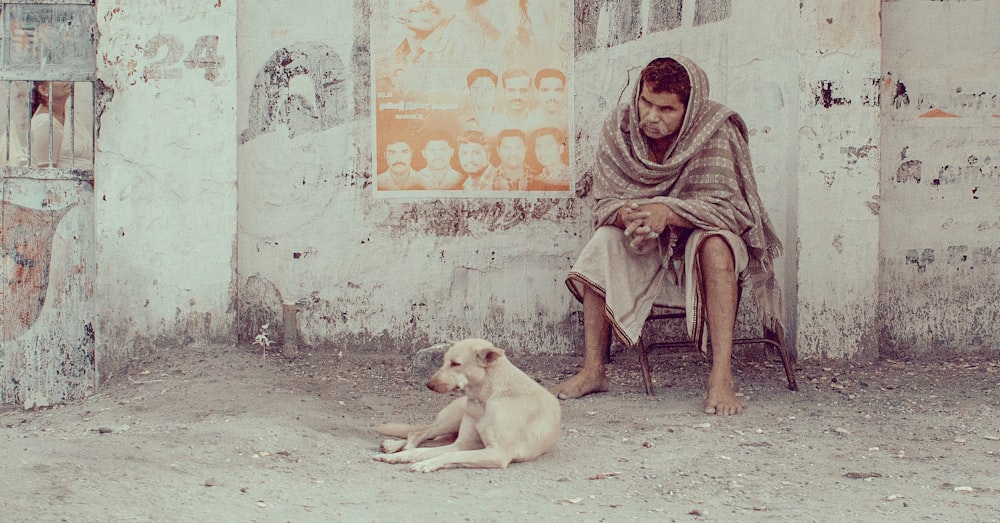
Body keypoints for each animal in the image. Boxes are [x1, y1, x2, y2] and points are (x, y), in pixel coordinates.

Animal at [376, 338, 564, 472]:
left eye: (455, 363)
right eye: (443, 361)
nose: (428, 385)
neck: (486, 398)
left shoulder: (496, 453)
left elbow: (447, 456)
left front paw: (426, 463)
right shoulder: (463, 444)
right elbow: (423, 451)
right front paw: (402, 456)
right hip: (451, 420)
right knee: (420, 432)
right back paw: (394, 447)